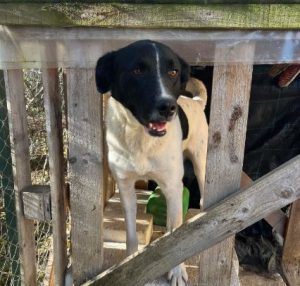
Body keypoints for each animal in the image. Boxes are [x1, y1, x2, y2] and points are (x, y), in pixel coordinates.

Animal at [95, 40, 207, 286]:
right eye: (137, 70)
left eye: (173, 72)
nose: (168, 107)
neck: (142, 139)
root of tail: (195, 102)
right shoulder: (126, 187)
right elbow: (130, 232)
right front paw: (130, 261)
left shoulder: (173, 185)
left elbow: (176, 235)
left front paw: (177, 270)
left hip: (200, 164)